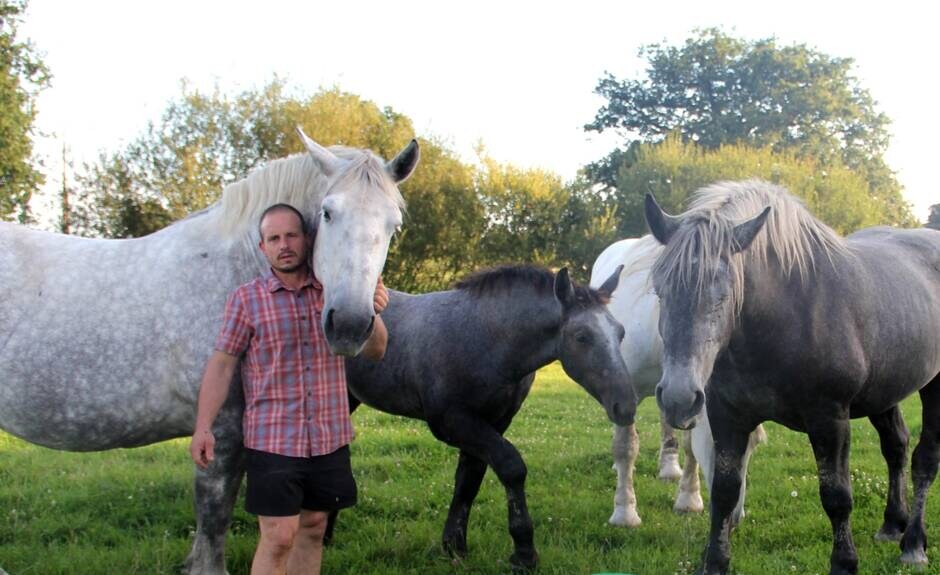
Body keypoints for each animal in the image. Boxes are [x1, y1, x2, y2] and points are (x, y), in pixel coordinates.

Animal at [0, 130, 418, 575]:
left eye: (393, 224)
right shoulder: (220, 433)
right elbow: (213, 523)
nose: (350, 324)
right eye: (327, 213)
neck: (236, 268)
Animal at [342, 266, 636, 572]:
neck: (486, 339)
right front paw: (523, 552)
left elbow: (469, 479)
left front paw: (454, 545)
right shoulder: (451, 421)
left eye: (621, 333)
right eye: (581, 336)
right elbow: (511, 467)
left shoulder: (494, 422)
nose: (625, 406)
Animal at [592, 234, 768, 528]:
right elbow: (626, 447)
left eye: (754, 447)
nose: (735, 517)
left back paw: (669, 468)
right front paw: (625, 513)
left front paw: (688, 499)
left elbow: (690, 446)